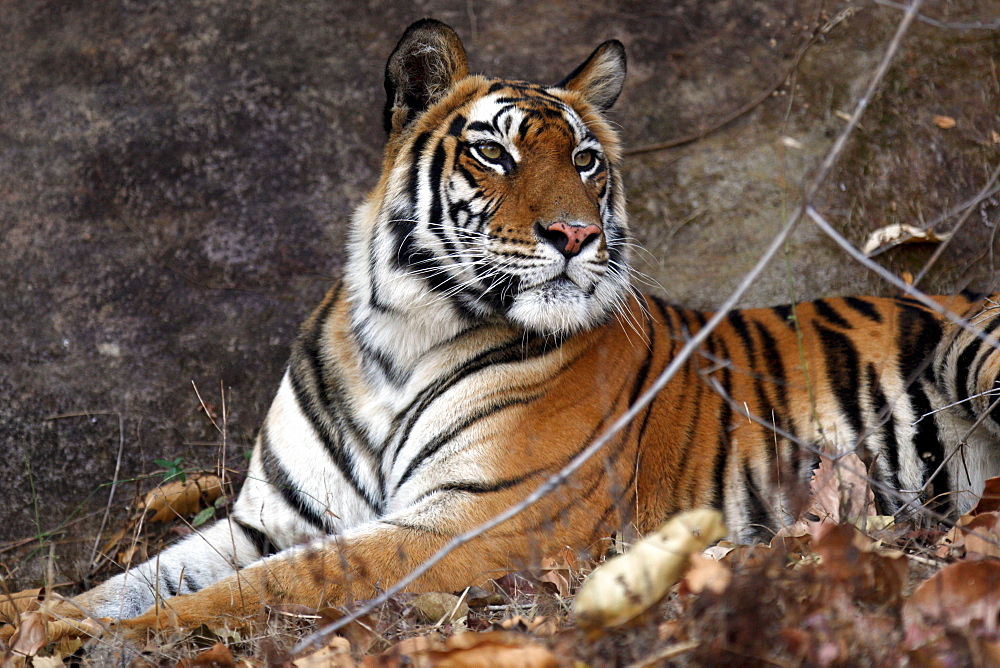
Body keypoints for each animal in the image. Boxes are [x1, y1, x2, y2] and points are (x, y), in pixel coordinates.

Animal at [60, 18, 1000, 640]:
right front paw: (62, 619)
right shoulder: (271, 516)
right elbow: (145, 574)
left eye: (585, 161)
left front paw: (121, 644)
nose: (576, 235)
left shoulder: (477, 521)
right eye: (495, 153)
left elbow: (281, 580)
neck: (397, 339)